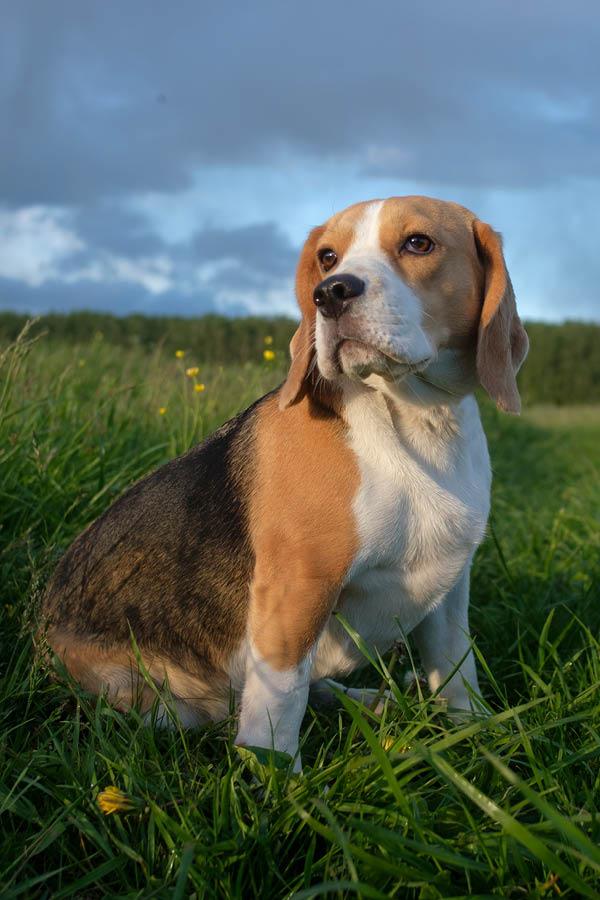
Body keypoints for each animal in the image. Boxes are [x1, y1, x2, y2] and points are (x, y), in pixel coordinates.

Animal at [42, 195, 528, 768]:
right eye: (327, 256)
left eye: (418, 243)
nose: (330, 292)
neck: (415, 419)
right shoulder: (299, 585)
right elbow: (280, 703)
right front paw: (278, 781)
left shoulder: (451, 586)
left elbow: (457, 664)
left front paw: (475, 736)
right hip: (161, 700)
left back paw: (369, 700)